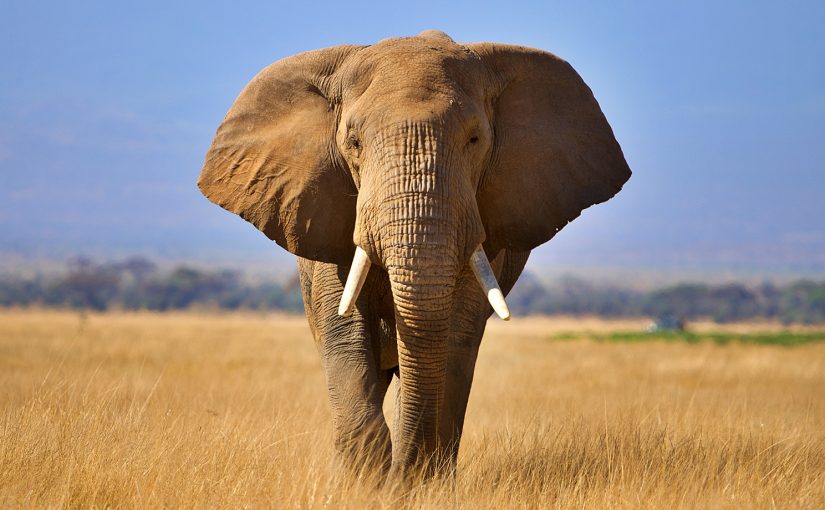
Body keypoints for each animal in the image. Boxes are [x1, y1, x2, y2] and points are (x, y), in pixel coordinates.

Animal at [197, 30, 631, 482]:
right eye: (354, 143)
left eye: (475, 140)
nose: (400, 477)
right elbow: (345, 329)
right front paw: (361, 483)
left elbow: (455, 334)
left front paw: (417, 483)